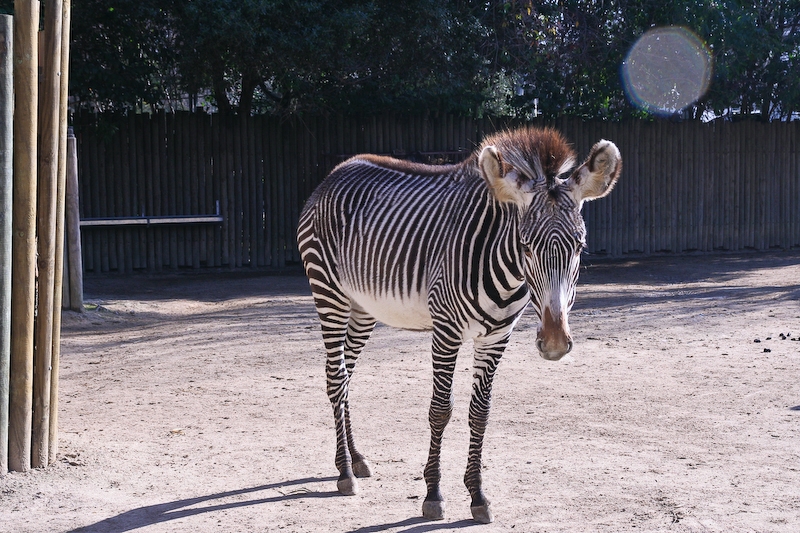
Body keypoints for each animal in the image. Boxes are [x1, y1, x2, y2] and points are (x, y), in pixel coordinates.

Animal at [297, 126, 621, 523]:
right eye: (526, 246)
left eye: (579, 246)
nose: (556, 343)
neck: (504, 268)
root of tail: (337, 171)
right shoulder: (446, 331)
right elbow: (440, 410)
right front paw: (434, 494)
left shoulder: (496, 337)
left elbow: (480, 413)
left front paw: (478, 494)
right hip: (329, 294)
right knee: (336, 379)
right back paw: (344, 472)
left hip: (362, 309)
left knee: (346, 378)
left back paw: (356, 460)